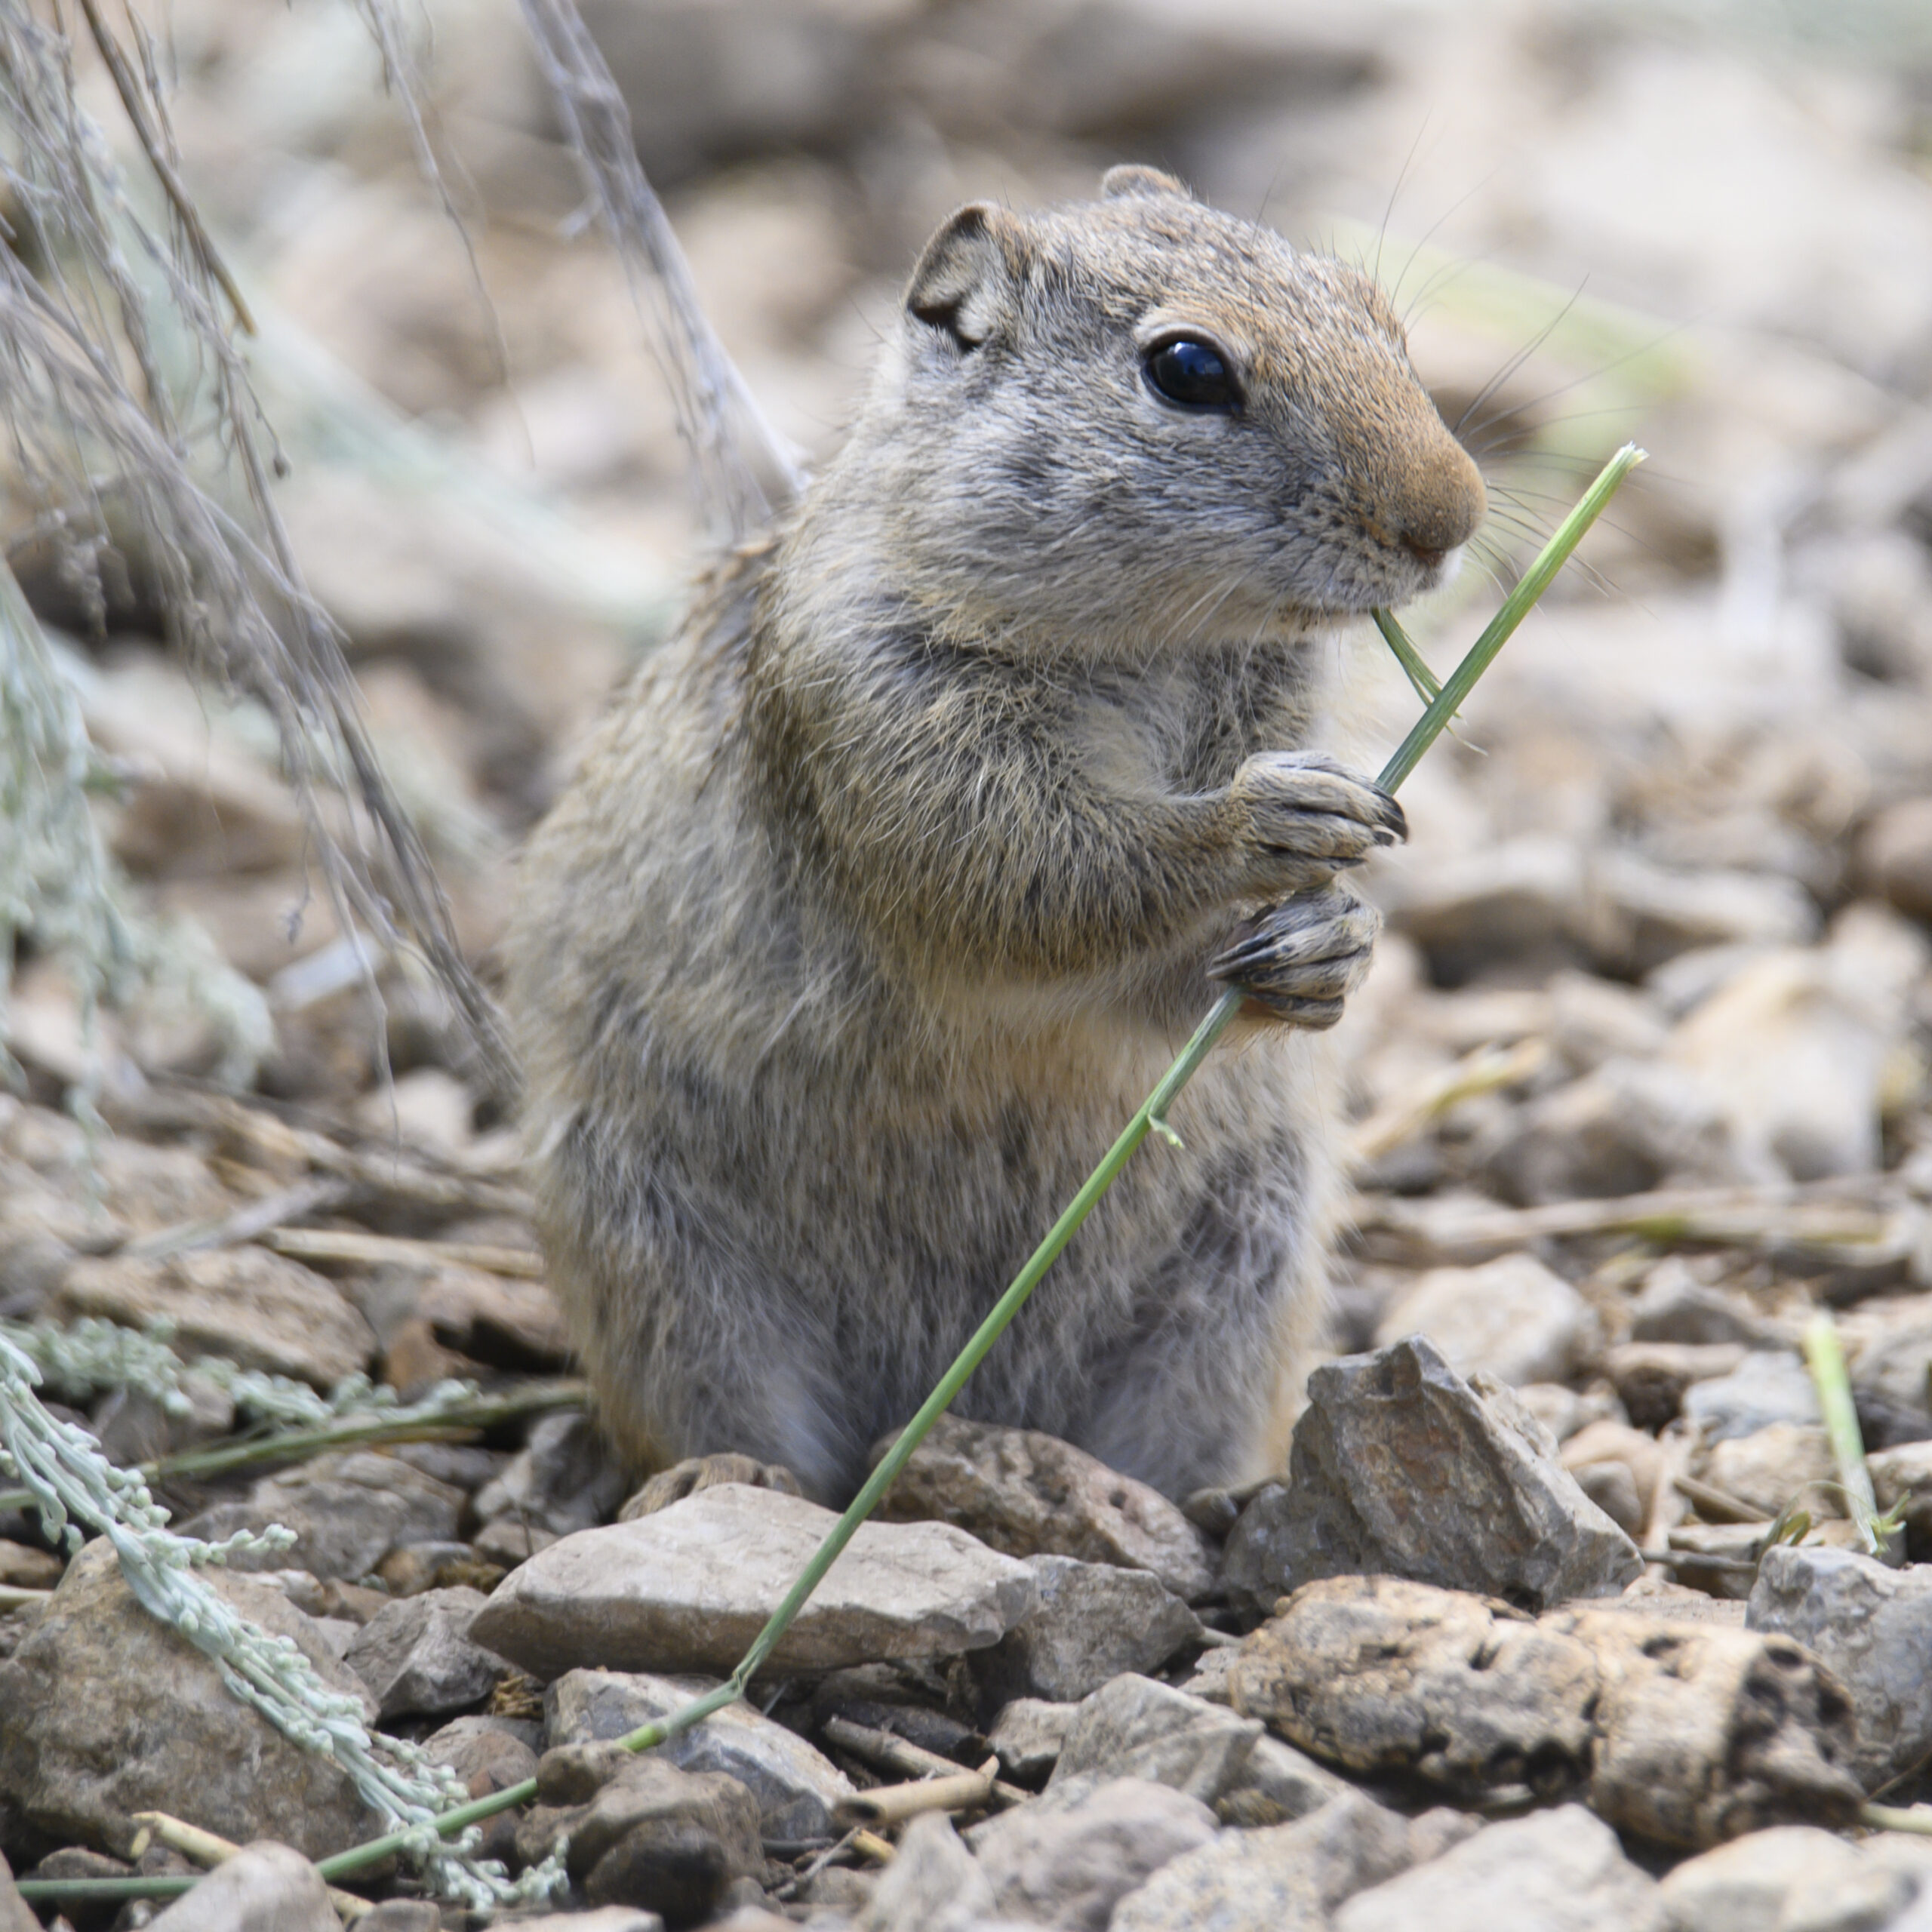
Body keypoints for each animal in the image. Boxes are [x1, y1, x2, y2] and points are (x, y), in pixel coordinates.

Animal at [503, 166, 1485, 1505]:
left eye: (1374, 309)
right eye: (1187, 369)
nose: (1452, 517)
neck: (1152, 646)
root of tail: (943, 1401)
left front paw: (1331, 948)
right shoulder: (901, 736)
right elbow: (1052, 884)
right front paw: (1272, 817)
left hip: (1244, 1268)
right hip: (665, 1271)